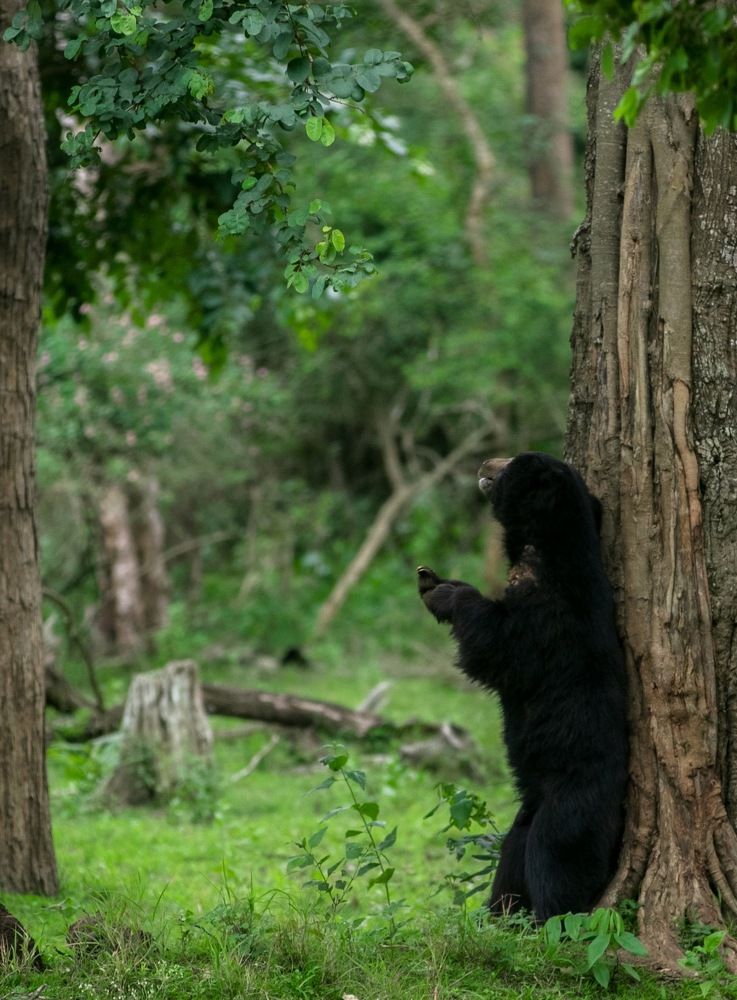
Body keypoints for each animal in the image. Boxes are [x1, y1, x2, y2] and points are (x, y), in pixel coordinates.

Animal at [417, 452, 627, 921]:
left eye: (512, 463)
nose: (483, 463)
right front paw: (431, 578)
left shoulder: (548, 618)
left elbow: (496, 645)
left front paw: (444, 596)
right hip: (528, 809)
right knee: (513, 856)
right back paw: (499, 915)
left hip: (571, 803)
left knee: (554, 859)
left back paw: (549, 919)